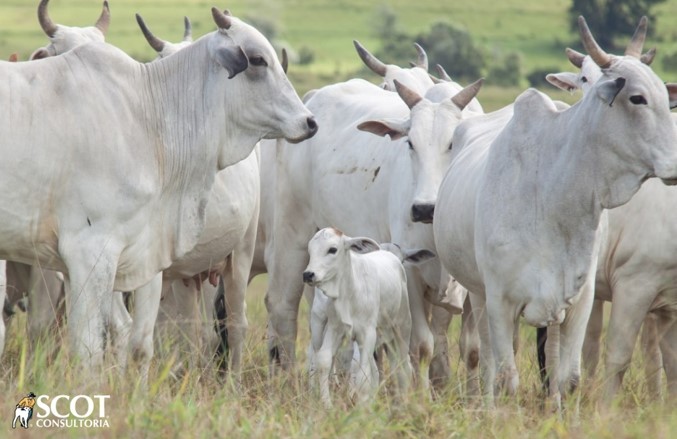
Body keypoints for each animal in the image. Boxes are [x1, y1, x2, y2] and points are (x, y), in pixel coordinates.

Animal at [262, 75, 480, 388]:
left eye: (454, 142)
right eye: (410, 143)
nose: (424, 209)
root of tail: (313, 99)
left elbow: (472, 350)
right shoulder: (410, 277)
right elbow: (422, 346)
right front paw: (421, 394)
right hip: (291, 232)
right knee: (282, 309)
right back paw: (287, 382)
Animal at [304, 230, 412, 410]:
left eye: (332, 249)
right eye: (310, 250)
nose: (308, 274)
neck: (350, 290)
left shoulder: (367, 334)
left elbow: (362, 374)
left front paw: (362, 407)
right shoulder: (336, 328)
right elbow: (324, 361)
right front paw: (327, 404)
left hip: (402, 326)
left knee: (404, 364)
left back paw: (404, 400)